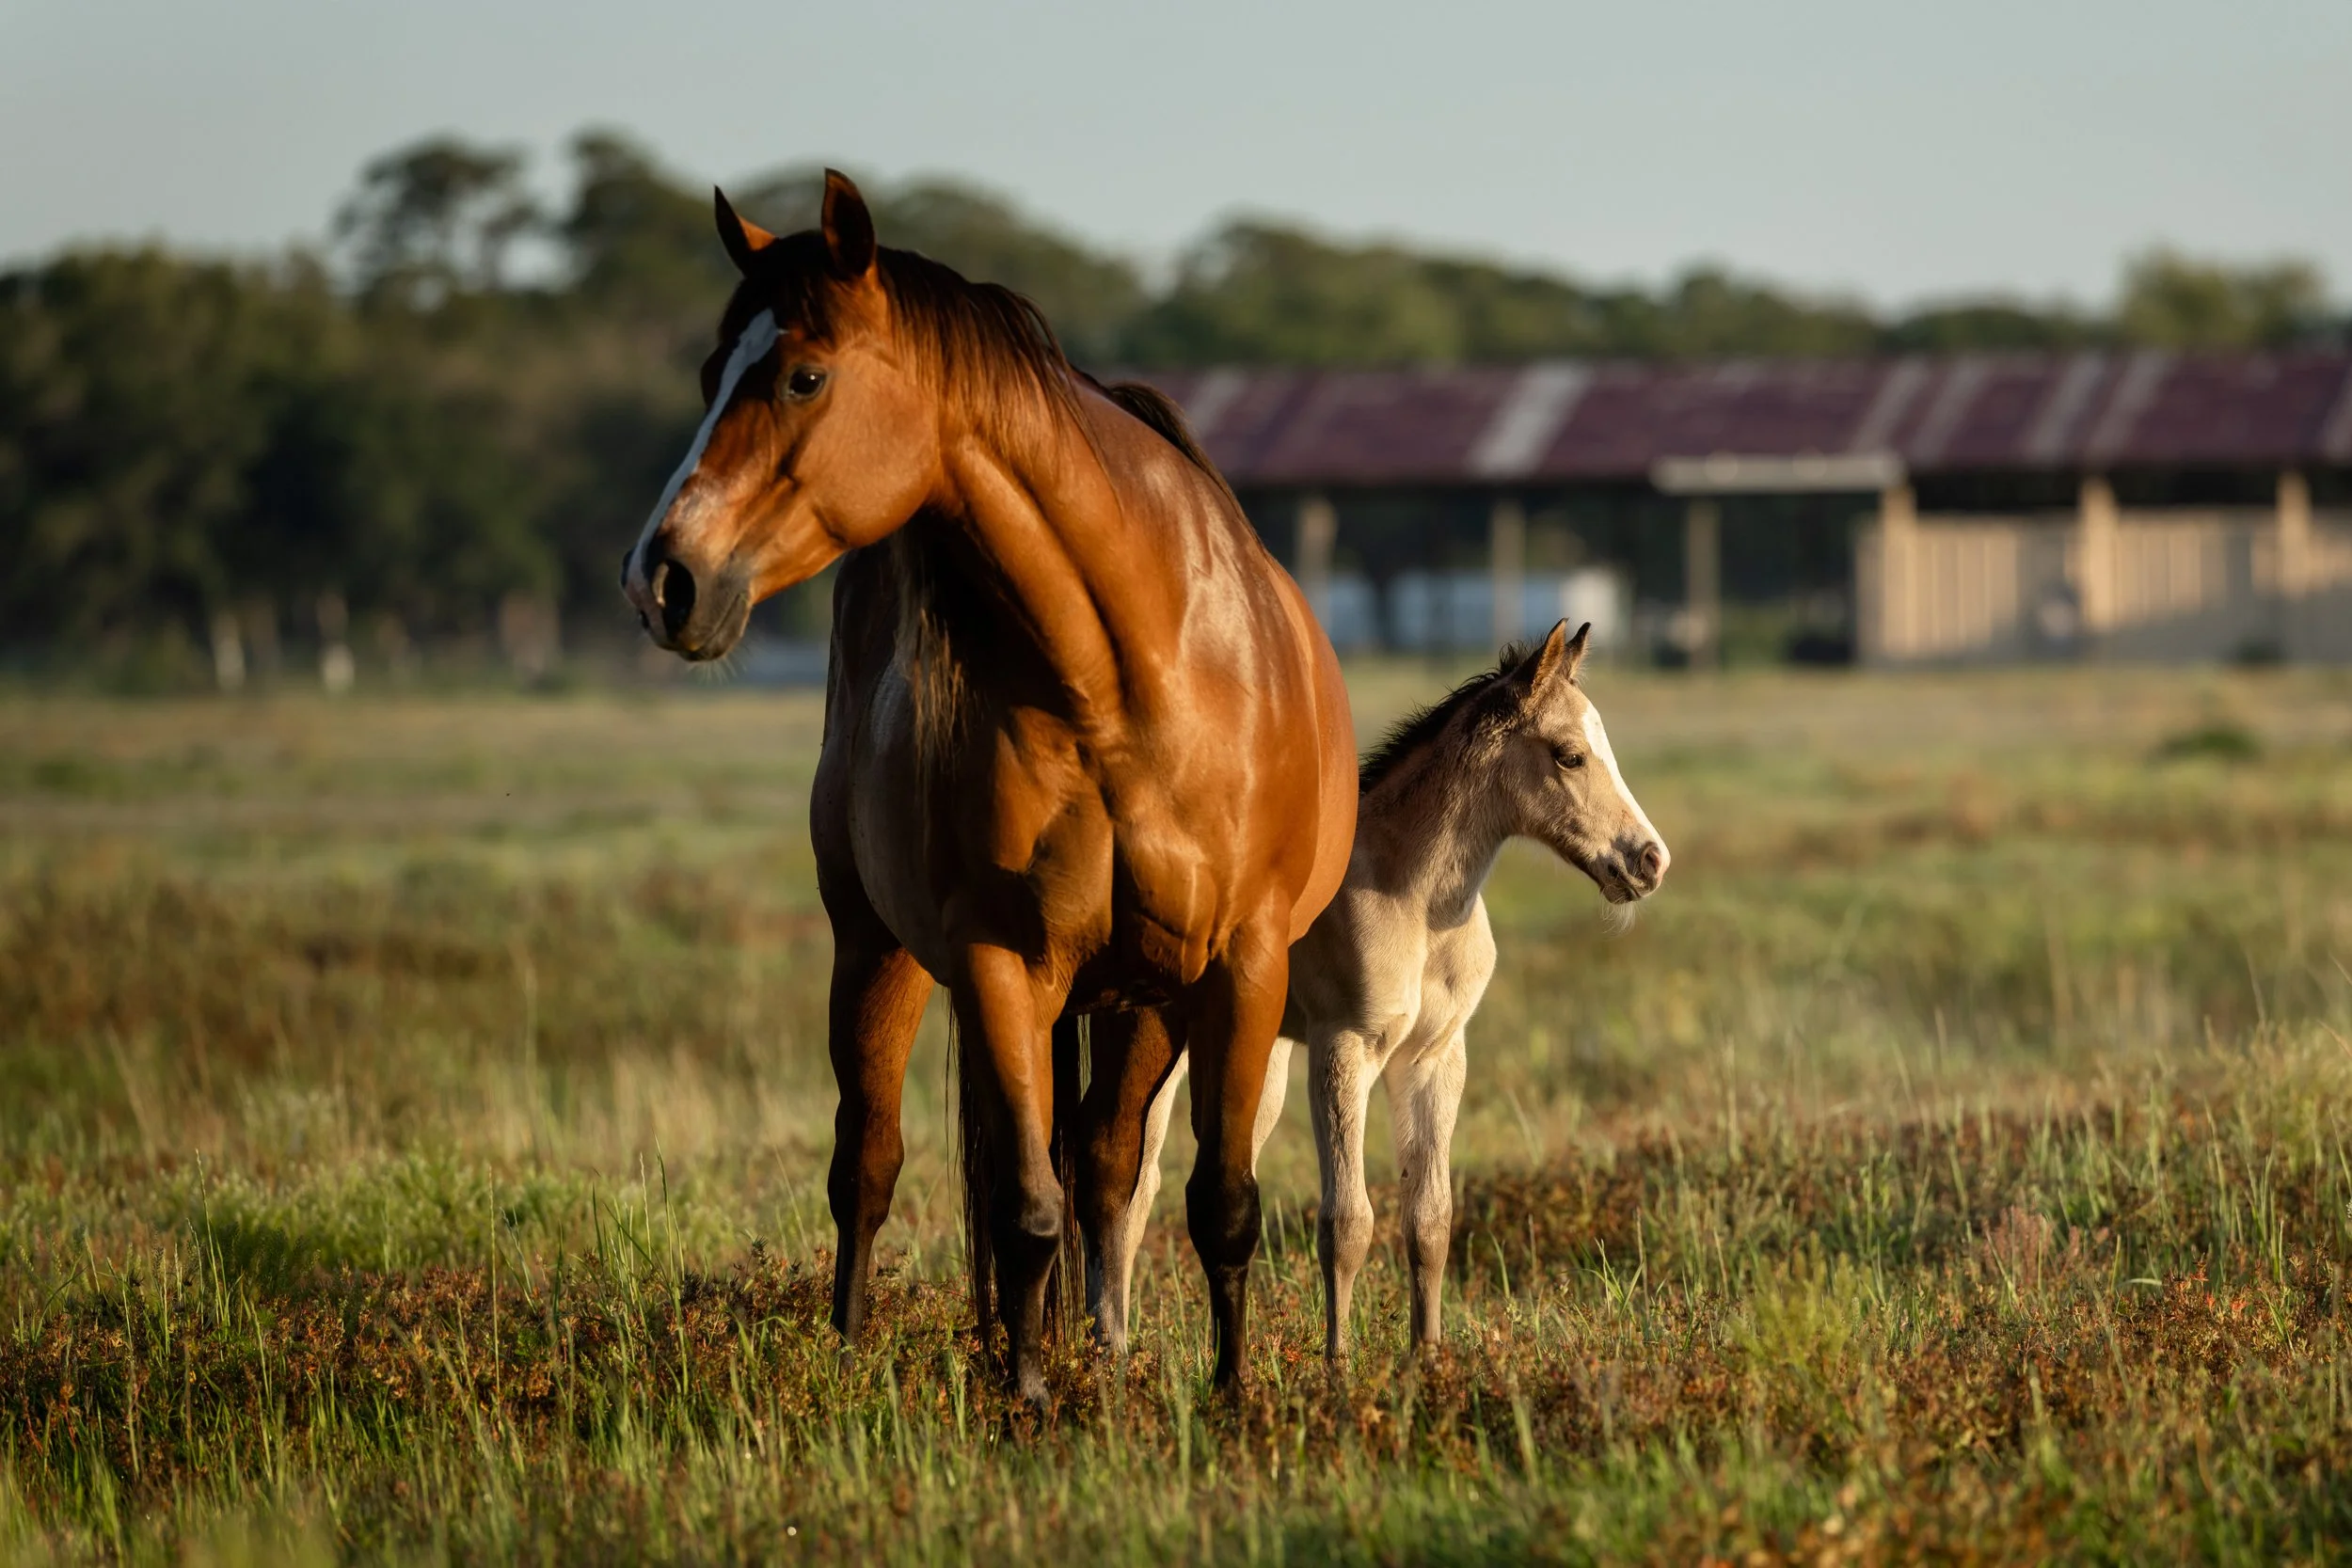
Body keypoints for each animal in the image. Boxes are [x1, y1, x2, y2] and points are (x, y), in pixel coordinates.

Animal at [619, 171, 1357, 1403]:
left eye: (803, 373)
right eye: (710, 369)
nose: (662, 578)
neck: (1123, 683)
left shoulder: (1240, 964)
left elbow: (1217, 1202)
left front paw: (1229, 1395)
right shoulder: (1003, 962)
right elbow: (1022, 1209)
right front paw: (1026, 1398)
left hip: (1145, 997)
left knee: (1104, 1161)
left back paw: (1106, 1349)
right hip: (877, 949)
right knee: (867, 1164)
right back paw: (850, 1352)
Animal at [1085, 621, 1669, 1363]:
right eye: (1569, 756)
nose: (1649, 861)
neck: (1415, 902)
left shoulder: (1436, 1058)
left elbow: (1430, 1218)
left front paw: (1429, 1359)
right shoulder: (1344, 1048)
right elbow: (1348, 1221)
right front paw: (1337, 1366)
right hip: (1147, 1032)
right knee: (1121, 1173)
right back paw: (1107, 1351)